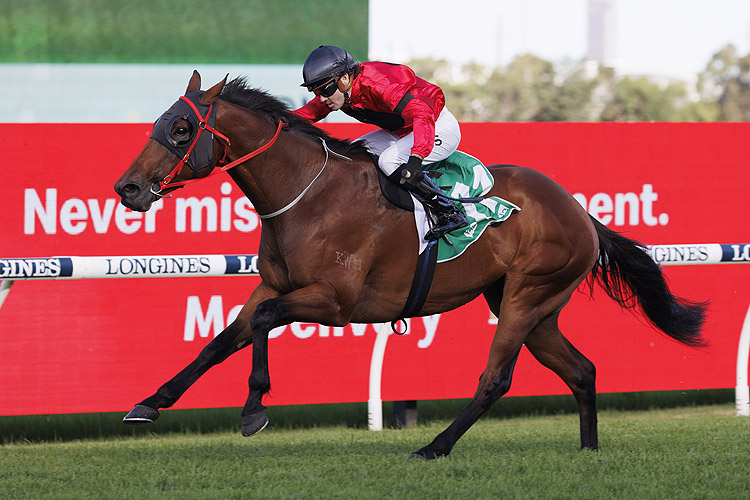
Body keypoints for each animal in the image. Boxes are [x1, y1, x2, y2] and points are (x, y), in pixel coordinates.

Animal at [114, 72, 708, 458]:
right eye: (159, 124)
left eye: (182, 131)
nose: (128, 188)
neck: (304, 194)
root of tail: (580, 212)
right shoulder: (271, 286)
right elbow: (220, 341)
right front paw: (148, 403)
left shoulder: (334, 301)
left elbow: (260, 325)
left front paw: (254, 410)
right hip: (532, 307)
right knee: (581, 371)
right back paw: (588, 453)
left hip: (527, 295)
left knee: (495, 379)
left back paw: (434, 447)